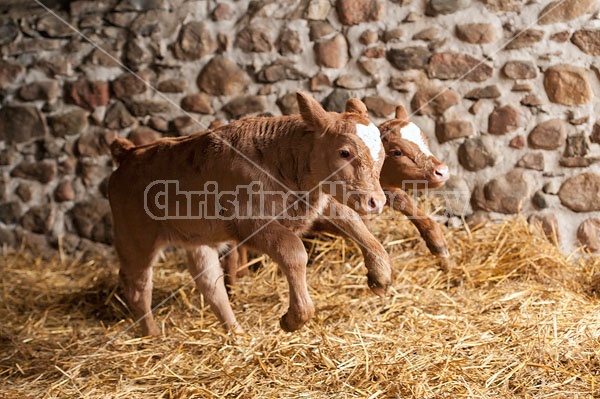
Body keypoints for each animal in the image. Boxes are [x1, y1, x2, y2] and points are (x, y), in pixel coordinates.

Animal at [108, 92, 392, 336]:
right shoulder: (248, 222)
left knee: (210, 283)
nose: (376, 201)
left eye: (382, 153)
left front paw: (380, 275)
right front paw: (293, 318)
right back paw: (152, 335)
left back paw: (236, 334)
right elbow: (293, 250)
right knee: (137, 285)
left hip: (198, 239)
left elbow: (352, 221)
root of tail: (130, 153)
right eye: (344, 152)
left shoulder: (312, 206)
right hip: (136, 238)